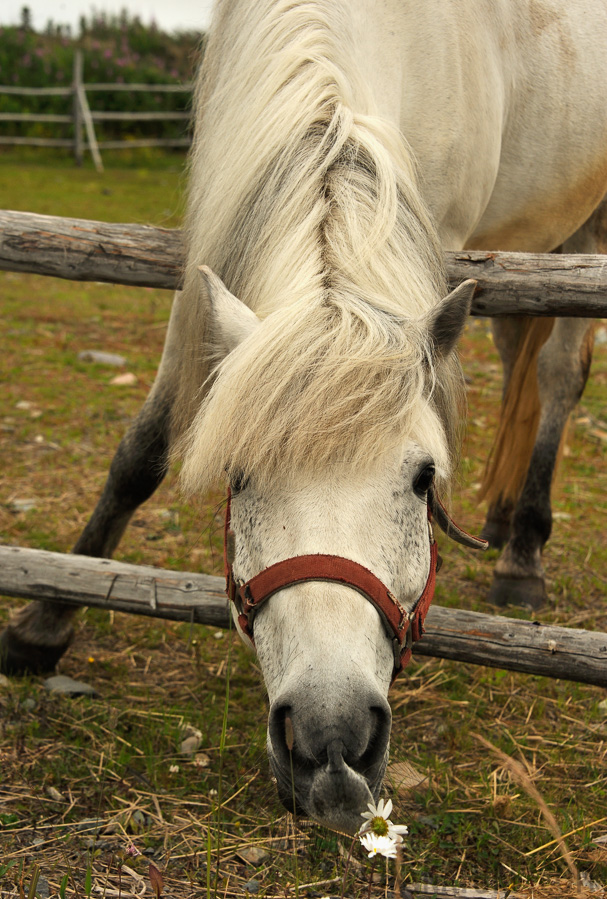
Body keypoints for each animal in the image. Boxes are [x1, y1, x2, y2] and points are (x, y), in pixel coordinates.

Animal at [2, 0, 604, 836]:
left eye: (423, 480)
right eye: (237, 476)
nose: (331, 745)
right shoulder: (209, 262)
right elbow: (141, 451)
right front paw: (45, 622)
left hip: (586, 225)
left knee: (556, 374)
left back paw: (522, 556)